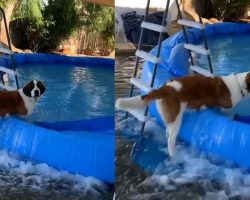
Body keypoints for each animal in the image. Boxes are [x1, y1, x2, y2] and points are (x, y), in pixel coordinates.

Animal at [115, 72, 250, 157]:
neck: (239, 85)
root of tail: (165, 88)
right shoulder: (225, 106)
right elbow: (227, 111)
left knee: (167, 132)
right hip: (176, 119)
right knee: (170, 139)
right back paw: (174, 156)